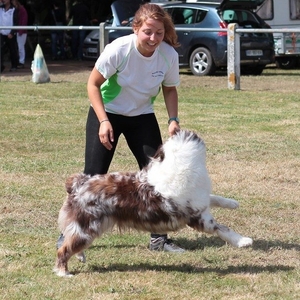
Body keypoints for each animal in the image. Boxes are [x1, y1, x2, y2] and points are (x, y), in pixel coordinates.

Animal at [53, 129, 251, 276]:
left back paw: (81, 257)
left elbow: (214, 198)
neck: (180, 163)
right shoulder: (199, 218)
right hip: (86, 229)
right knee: (64, 250)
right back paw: (64, 273)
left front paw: (233, 203)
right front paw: (243, 241)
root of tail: (78, 184)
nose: (177, 127)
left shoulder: (201, 199)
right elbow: (222, 228)